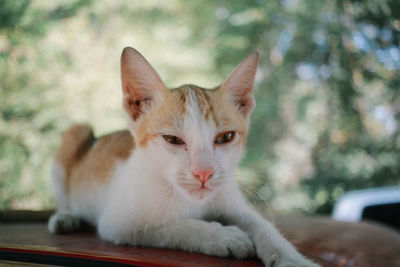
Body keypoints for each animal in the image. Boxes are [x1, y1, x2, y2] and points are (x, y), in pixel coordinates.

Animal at [48, 48, 320, 267]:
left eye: (226, 137)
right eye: (173, 139)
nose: (204, 173)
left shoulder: (232, 201)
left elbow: (264, 226)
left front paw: (292, 258)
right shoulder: (118, 222)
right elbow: (173, 226)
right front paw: (222, 235)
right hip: (75, 134)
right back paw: (65, 217)